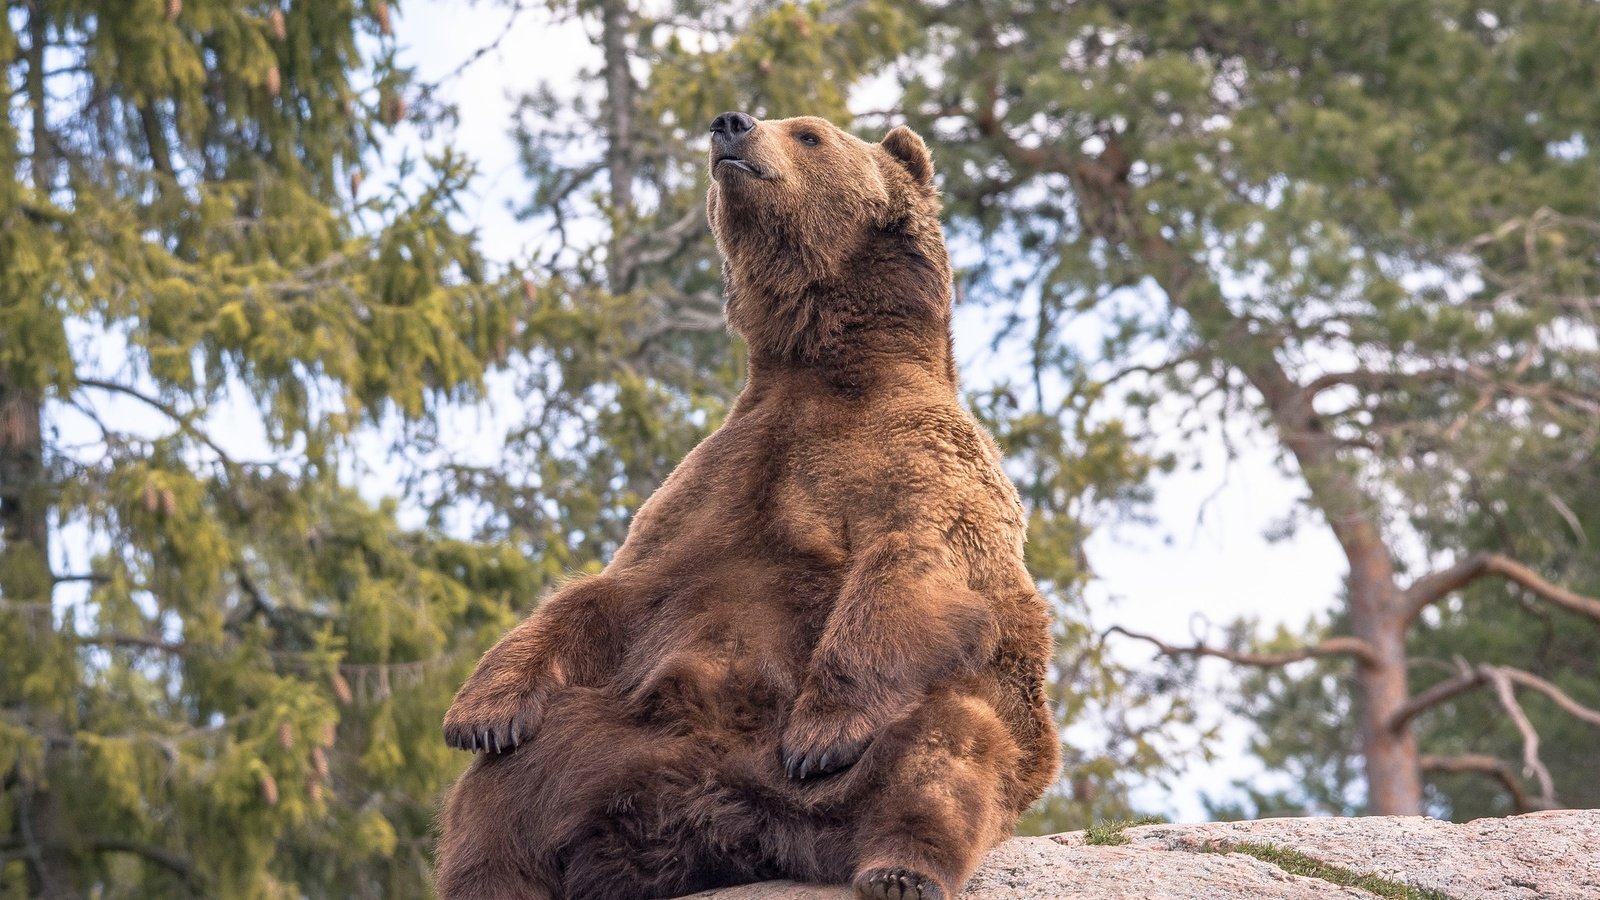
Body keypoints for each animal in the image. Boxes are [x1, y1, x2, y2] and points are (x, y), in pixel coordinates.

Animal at [438, 112, 1062, 896]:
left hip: (927, 744)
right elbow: (611, 590)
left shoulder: (922, 459)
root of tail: (730, 820)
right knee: (499, 797)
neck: (820, 361)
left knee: (946, 746)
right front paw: (480, 712)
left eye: (810, 134)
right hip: (600, 740)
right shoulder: (719, 474)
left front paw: (822, 732)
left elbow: (915, 567)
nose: (729, 124)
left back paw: (899, 866)